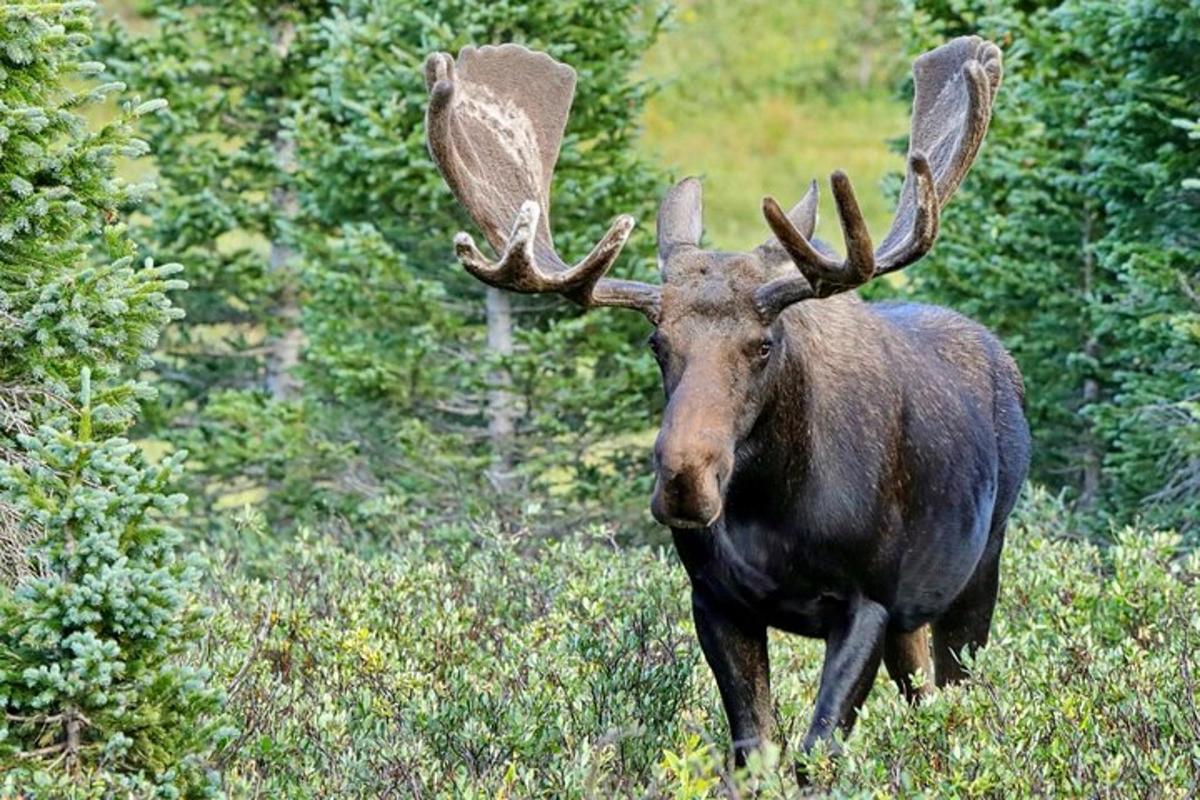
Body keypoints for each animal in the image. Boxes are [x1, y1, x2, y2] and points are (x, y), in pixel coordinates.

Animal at [424, 37, 1032, 762]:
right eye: (657, 341)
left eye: (763, 343)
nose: (686, 478)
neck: (774, 512)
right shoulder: (717, 601)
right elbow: (755, 749)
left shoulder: (869, 601)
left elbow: (816, 752)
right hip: (916, 613)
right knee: (922, 696)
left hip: (977, 574)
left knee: (959, 691)